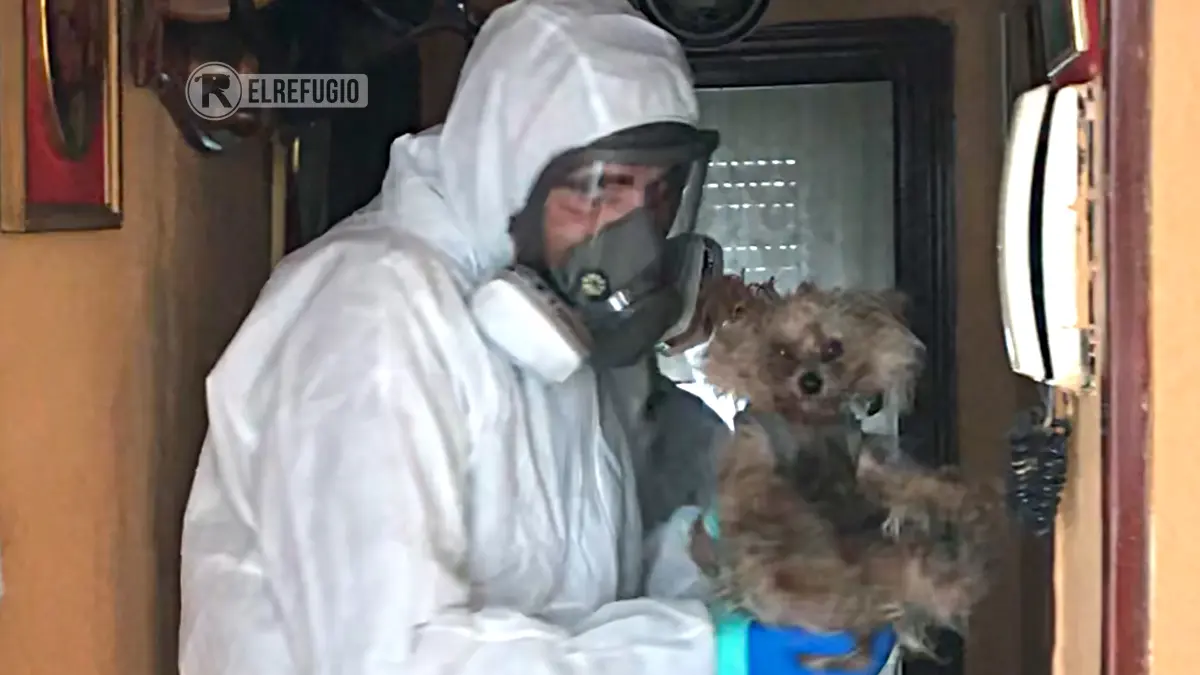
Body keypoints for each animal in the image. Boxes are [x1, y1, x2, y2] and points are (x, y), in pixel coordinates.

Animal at [692, 278, 1007, 670]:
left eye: (833, 348)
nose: (811, 381)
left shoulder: (866, 460)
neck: (808, 421)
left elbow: (904, 481)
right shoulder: (755, 467)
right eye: (781, 352)